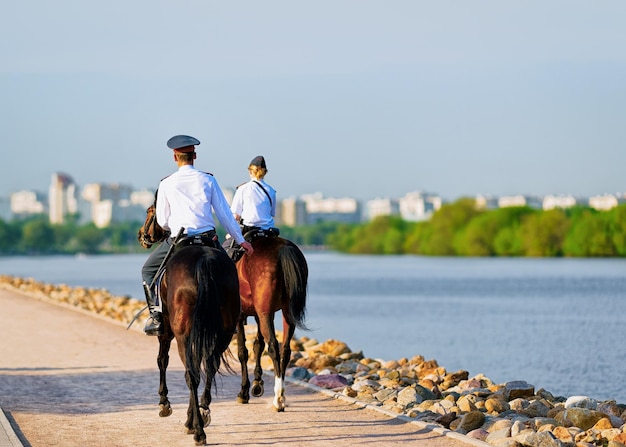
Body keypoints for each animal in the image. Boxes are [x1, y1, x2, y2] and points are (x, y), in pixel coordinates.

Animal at [234, 234, 308, 412]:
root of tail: (283, 248)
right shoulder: (262, 314)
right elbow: (258, 345)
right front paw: (257, 383)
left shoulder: (242, 316)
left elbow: (243, 352)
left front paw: (244, 391)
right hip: (285, 313)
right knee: (285, 349)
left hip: (265, 313)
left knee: (274, 346)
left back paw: (278, 398)